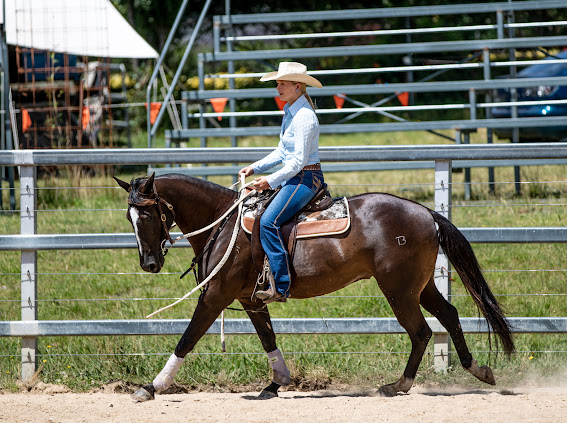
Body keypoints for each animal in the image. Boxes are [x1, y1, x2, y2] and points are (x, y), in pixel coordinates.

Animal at [114, 173, 514, 401]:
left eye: (146, 213)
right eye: (129, 217)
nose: (149, 264)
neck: (224, 225)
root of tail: (425, 212)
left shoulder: (216, 296)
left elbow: (187, 338)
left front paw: (151, 387)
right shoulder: (250, 299)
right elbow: (268, 338)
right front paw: (277, 383)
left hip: (399, 291)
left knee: (420, 332)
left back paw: (397, 385)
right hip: (420, 286)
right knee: (449, 315)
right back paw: (478, 369)